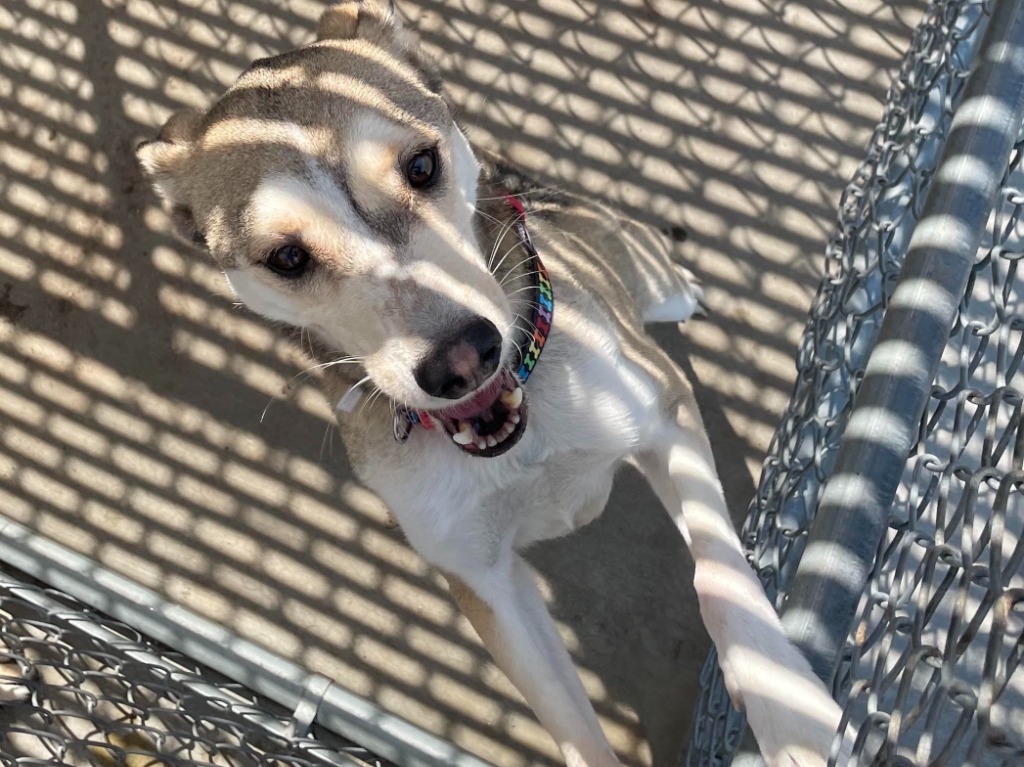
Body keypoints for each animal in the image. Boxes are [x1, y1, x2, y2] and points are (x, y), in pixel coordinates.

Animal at [138, 2, 847, 761]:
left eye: (422, 165)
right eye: (287, 257)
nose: (462, 360)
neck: (525, 432)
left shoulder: (666, 410)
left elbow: (716, 572)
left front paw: (786, 706)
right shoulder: (484, 579)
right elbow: (569, 724)